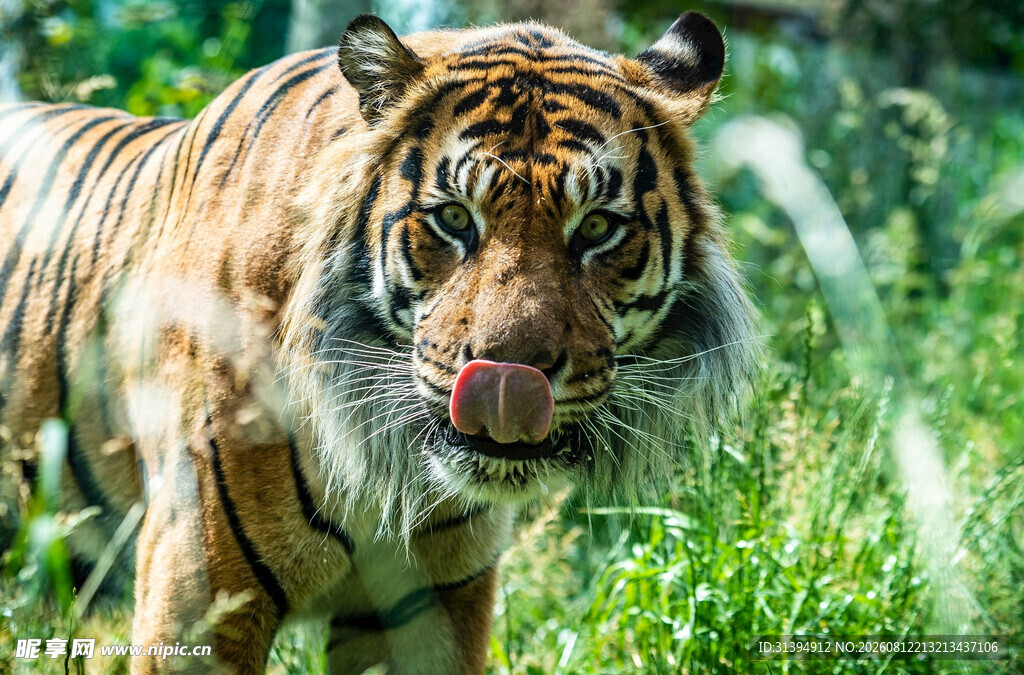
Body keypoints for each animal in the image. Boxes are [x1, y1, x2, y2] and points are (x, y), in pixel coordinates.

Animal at [0, 11, 757, 673]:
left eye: (597, 227)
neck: (386, 467)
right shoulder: (198, 592)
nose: (511, 378)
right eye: (454, 219)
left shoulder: (434, 607)